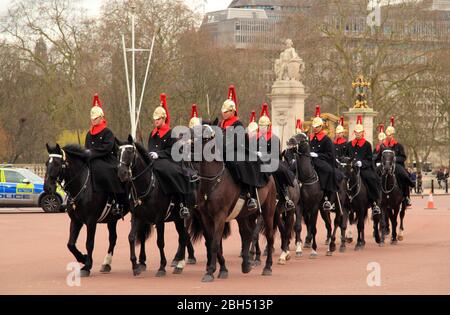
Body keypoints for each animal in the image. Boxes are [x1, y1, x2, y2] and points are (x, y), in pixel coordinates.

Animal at [44, 144, 127, 278]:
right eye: (47, 163)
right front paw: (83, 258)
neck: (82, 185)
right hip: (112, 219)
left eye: (57, 163)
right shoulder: (76, 221)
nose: (47, 187)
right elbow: (70, 244)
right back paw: (106, 264)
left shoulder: (91, 221)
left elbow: (89, 243)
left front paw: (87, 265)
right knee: (113, 238)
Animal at [117, 137, 196, 278]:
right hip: (177, 219)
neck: (147, 185)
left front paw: (162, 267)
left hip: (187, 216)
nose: (122, 173)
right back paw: (179, 261)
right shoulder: (138, 217)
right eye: (117, 153)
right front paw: (135, 266)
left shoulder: (159, 219)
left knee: (184, 236)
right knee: (182, 236)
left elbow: (160, 242)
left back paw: (180, 264)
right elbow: (131, 237)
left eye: (130, 151)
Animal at [190, 124, 278, 282]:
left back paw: (267, 266)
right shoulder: (206, 218)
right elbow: (214, 243)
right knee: (248, 235)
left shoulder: (220, 216)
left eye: (201, 136)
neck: (212, 181)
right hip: (244, 216)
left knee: (269, 236)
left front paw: (210, 271)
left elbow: (214, 244)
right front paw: (222, 269)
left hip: (268, 212)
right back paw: (246, 264)